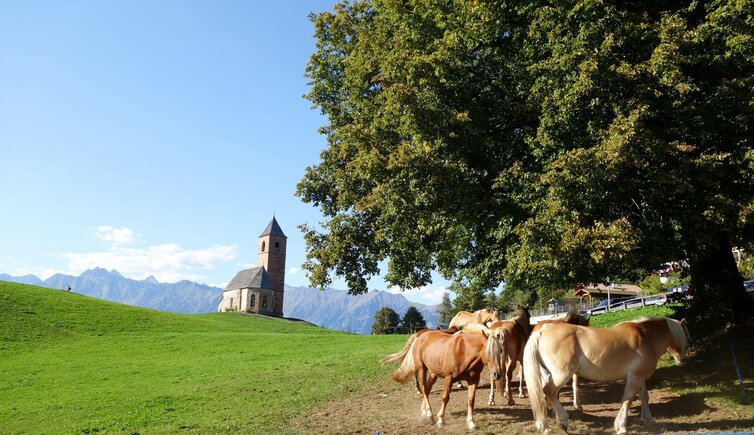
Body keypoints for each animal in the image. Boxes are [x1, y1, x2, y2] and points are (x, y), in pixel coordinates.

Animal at [524, 316, 688, 435]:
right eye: (686, 337)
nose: (683, 361)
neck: (646, 337)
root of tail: (542, 331)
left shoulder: (639, 377)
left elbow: (644, 397)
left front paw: (649, 420)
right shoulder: (635, 378)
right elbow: (628, 400)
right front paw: (621, 427)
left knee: (544, 396)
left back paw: (545, 425)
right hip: (561, 375)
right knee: (549, 392)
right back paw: (561, 422)